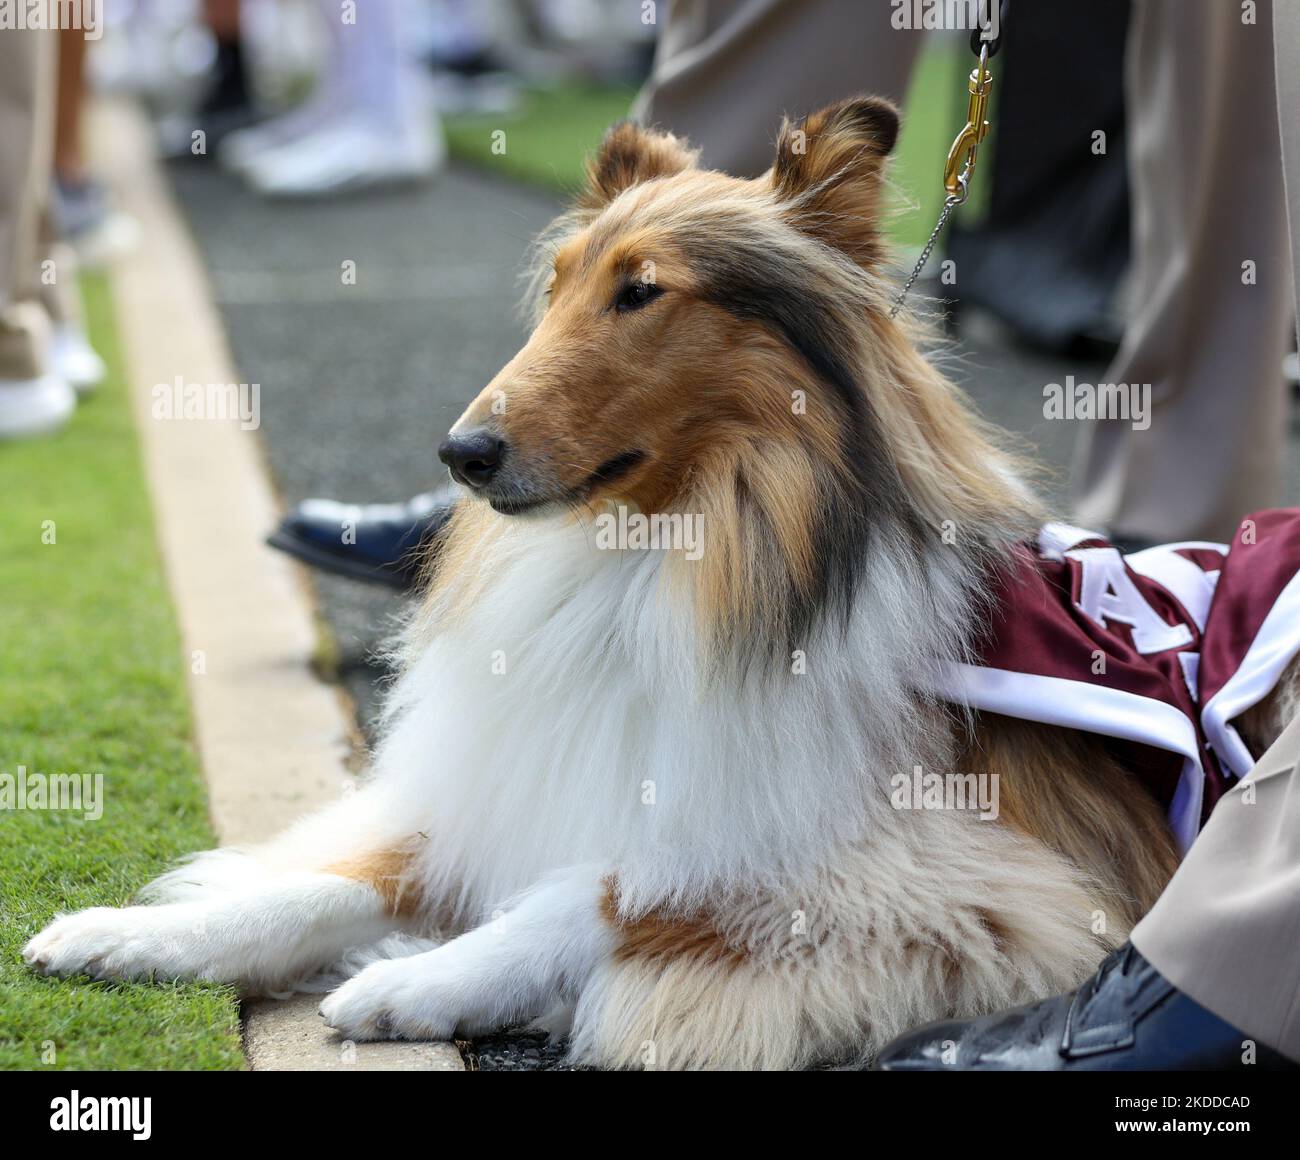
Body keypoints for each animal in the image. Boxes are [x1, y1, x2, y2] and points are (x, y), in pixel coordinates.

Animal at [25, 99, 1294, 1071]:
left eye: (642, 290)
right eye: (557, 286)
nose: (459, 453)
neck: (666, 559)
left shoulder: (967, 877)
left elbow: (599, 892)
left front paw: (418, 979)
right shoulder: (523, 784)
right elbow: (327, 884)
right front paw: (127, 933)